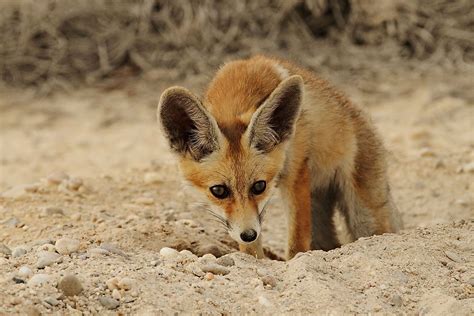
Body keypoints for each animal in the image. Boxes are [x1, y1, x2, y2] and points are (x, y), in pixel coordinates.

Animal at [157, 55, 402, 260]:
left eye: (259, 186)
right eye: (219, 191)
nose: (248, 234)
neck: (240, 90)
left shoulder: (295, 171)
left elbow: (296, 242)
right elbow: (251, 250)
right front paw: (254, 260)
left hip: (363, 215)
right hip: (320, 211)